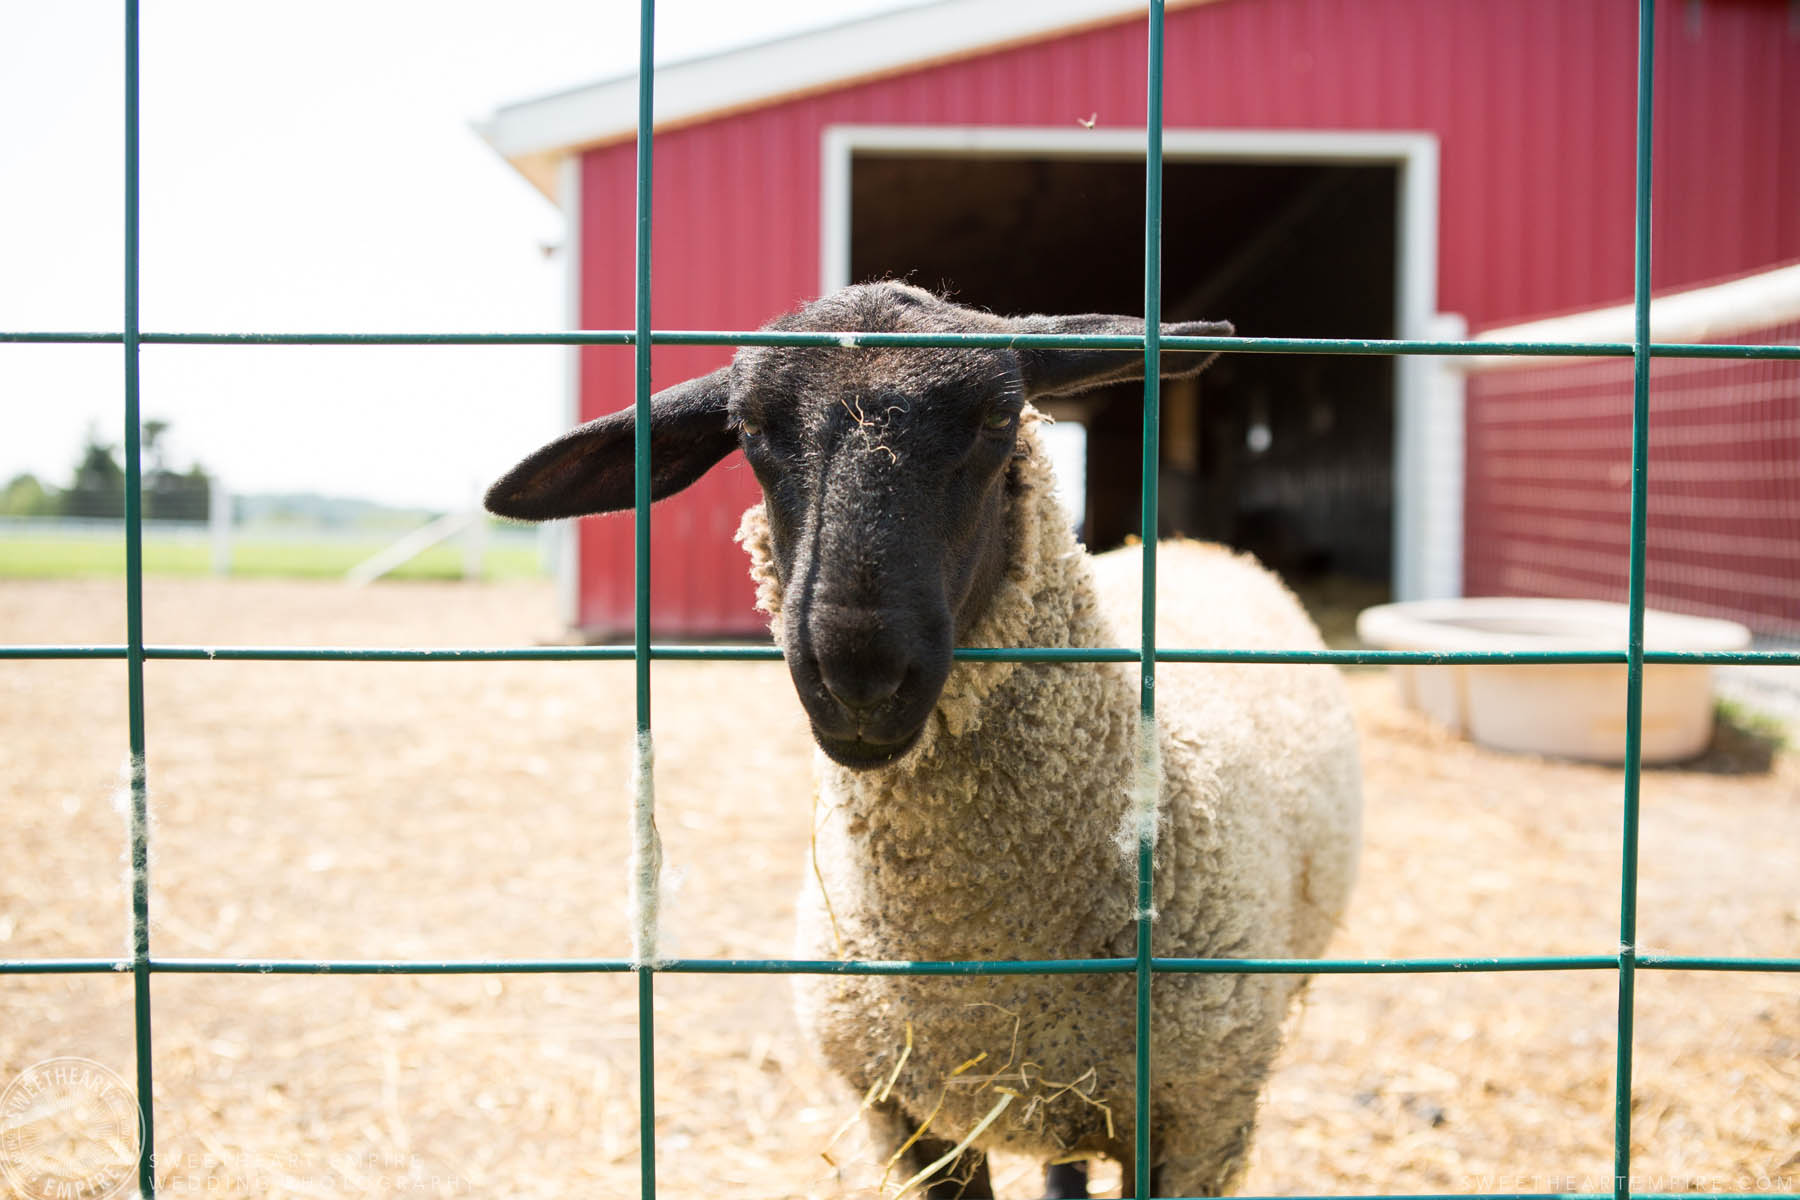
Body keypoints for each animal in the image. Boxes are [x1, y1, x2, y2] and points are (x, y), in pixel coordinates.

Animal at [486, 284, 1353, 1200]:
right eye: (748, 427)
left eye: (1000, 414)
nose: (859, 673)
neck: (987, 965)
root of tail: (1203, 548)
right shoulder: (906, 1114)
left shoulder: (1199, 1123)